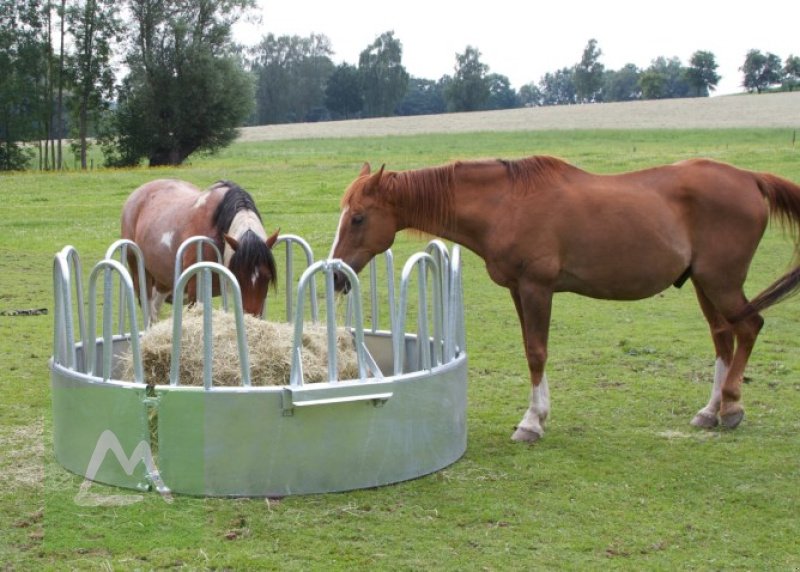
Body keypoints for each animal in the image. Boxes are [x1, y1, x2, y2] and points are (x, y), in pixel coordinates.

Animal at [120, 179, 280, 320]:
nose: (251, 316)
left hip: (163, 280)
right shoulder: (194, 289)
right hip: (139, 273)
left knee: (155, 305)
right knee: (148, 307)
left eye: (267, 277)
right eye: (238, 276)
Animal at [330, 156, 800, 442]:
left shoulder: (537, 288)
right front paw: (539, 415)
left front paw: (531, 423)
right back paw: (710, 410)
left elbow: (537, 352)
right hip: (705, 284)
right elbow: (530, 349)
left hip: (721, 282)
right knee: (723, 337)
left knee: (749, 327)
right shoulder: (519, 290)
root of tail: (751, 178)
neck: (504, 204)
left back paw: (732, 407)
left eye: (358, 218)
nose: (335, 275)